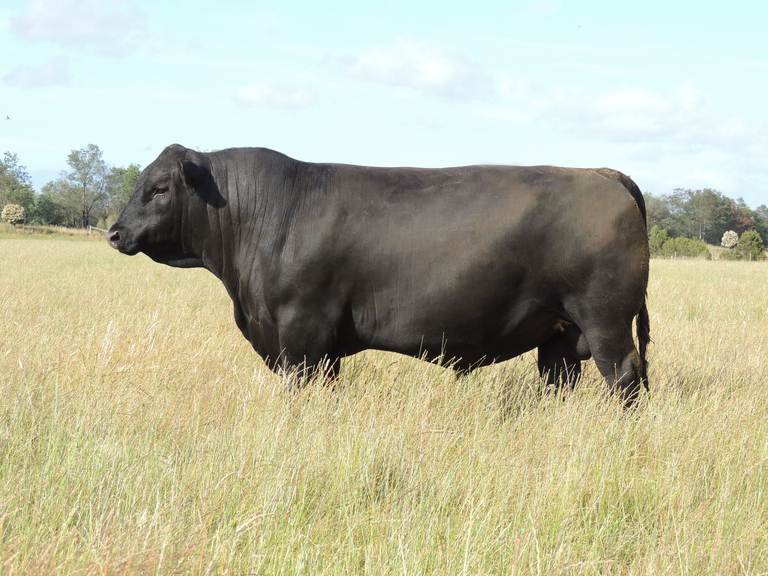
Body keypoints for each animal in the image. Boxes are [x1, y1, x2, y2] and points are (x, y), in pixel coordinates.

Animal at [108, 144, 650, 403]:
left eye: (159, 188)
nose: (115, 232)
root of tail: (601, 174)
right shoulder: (320, 347)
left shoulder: (302, 333)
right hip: (558, 333)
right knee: (561, 380)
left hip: (604, 321)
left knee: (625, 376)